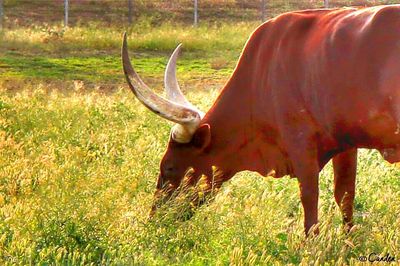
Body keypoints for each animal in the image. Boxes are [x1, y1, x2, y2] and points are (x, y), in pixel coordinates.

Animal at [121, 5, 400, 235]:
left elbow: (310, 197)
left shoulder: (300, 143)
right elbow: (344, 195)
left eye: (169, 167)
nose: (155, 220)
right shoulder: (345, 144)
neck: (261, 74)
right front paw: (349, 241)